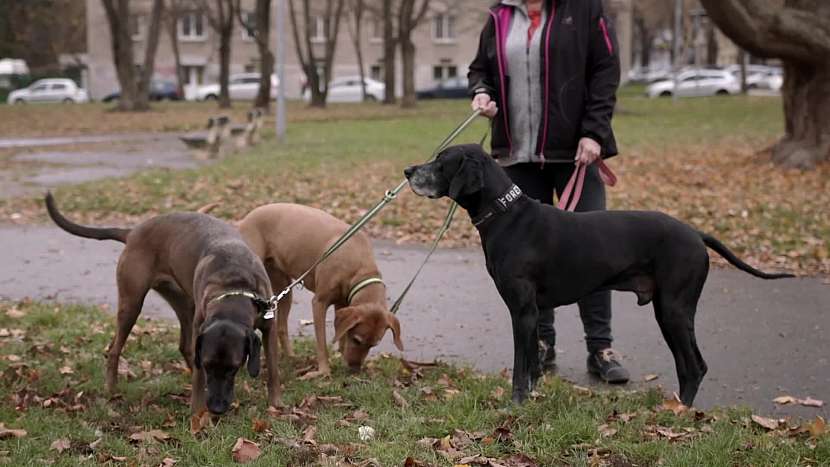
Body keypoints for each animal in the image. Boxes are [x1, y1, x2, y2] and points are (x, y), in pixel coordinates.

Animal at [46, 196, 282, 414]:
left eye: (234, 367)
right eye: (208, 365)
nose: (216, 408)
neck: (234, 285)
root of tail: (133, 232)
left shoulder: (269, 327)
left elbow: (273, 369)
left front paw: (275, 404)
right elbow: (198, 378)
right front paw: (198, 415)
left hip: (185, 304)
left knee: (184, 346)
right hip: (132, 303)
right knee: (114, 349)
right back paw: (111, 389)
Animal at [239, 203, 404, 378]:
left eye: (373, 345)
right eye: (357, 340)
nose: (354, 369)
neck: (357, 265)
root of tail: (245, 219)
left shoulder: (342, 304)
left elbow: (341, 336)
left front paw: (340, 356)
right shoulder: (319, 303)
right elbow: (322, 343)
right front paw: (324, 371)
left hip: (285, 287)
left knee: (282, 327)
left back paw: (290, 357)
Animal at [406, 145, 796, 406]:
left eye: (441, 162)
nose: (408, 171)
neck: (506, 215)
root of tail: (697, 234)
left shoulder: (522, 311)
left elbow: (520, 366)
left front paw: (515, 405)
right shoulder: (531, 313)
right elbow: (533, 365)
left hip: (674, 309)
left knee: (695, 365)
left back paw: (682, 413)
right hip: (667, 311)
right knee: (687, 366)